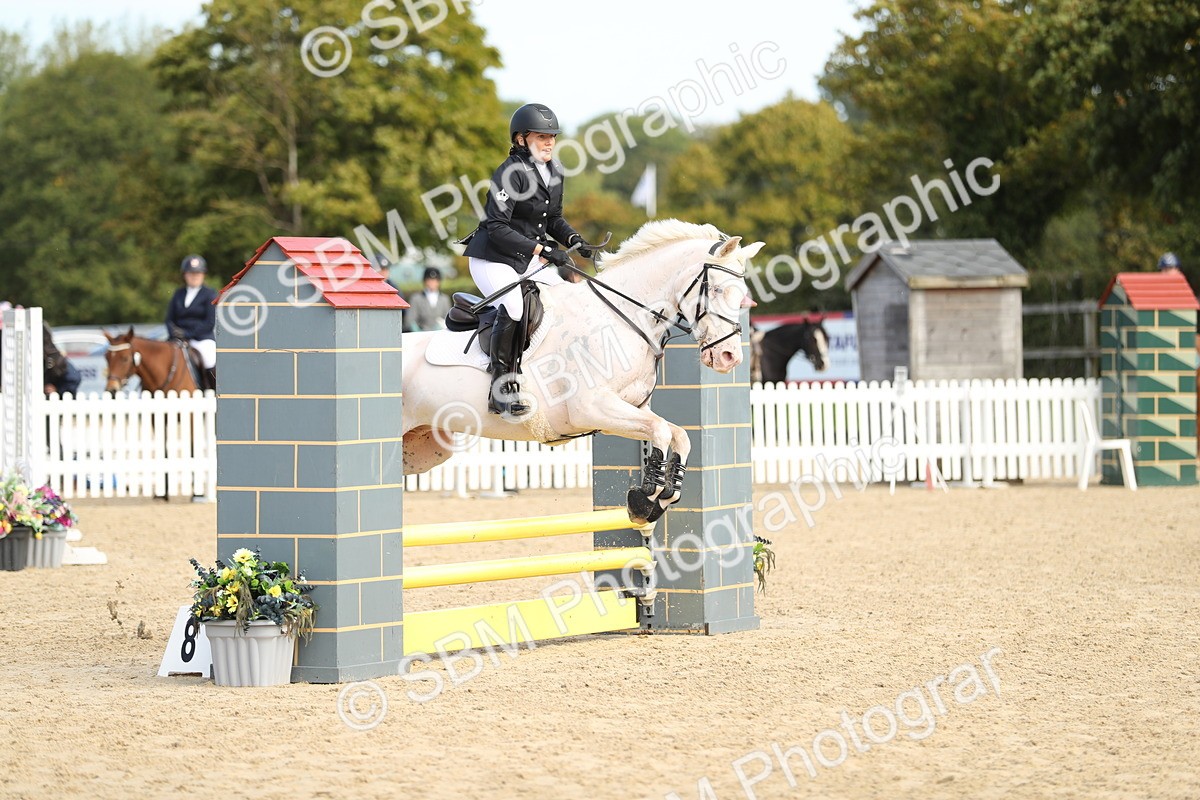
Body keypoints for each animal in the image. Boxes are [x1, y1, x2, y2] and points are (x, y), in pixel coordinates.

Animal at [402, 220, 762, 526]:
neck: (623, 316)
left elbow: (678, 435)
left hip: (424, 450)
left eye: (741, 296)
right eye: (715, 290)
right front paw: (645, 499)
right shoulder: (592, 408)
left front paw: (661, 497)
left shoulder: (630, 408)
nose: (728, 357)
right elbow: (661, 431)